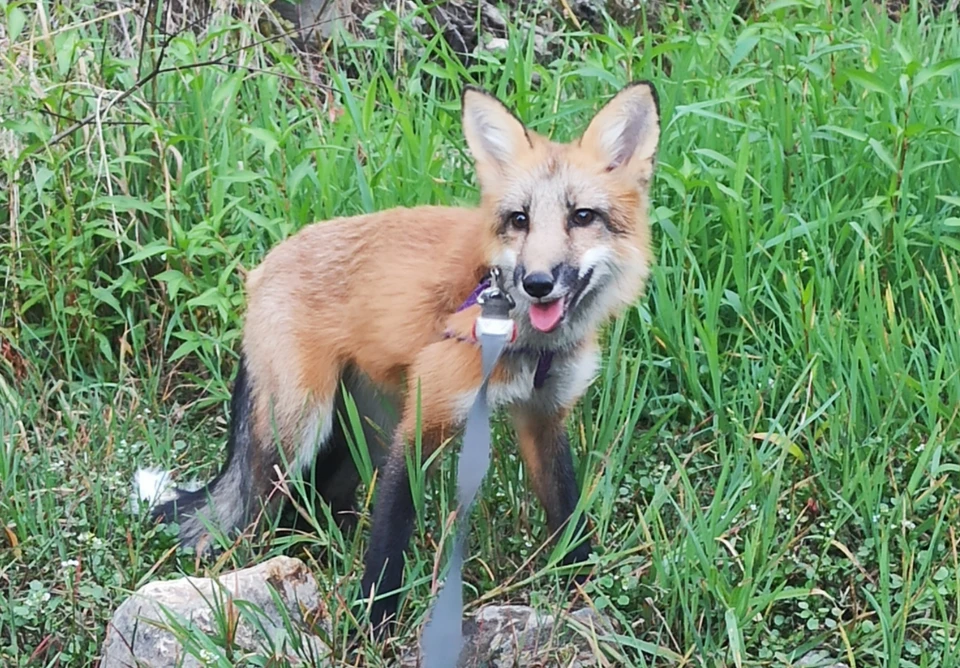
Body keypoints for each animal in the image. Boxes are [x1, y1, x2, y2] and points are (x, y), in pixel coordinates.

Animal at [141, 81, 660, 636]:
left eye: (581, 217)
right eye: (519, 220)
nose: (536, 282)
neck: (524, 345)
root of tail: (262, 268)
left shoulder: (543, 416)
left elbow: (567, 516)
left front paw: (586, 594)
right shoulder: (421, 421)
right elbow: (390, 538)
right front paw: (371, 627)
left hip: (359, 435)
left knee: (313, 502)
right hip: (297, 433)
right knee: (245, 517)